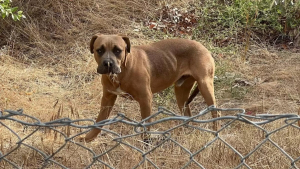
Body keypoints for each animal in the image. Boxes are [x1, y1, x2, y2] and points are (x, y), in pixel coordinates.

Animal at [84, 34, 220, 141]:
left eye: (118, 50)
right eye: (99, 50)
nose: (108, 63)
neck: (122, 71)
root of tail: (203, 47)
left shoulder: (145, 99)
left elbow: (146, 125)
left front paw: (146, 143)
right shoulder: (107, 98)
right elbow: (99, 121)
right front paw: (88, 138)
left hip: (205, 85)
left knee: (216, 112)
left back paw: (215, 135)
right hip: (181, 92)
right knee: (187, 114)